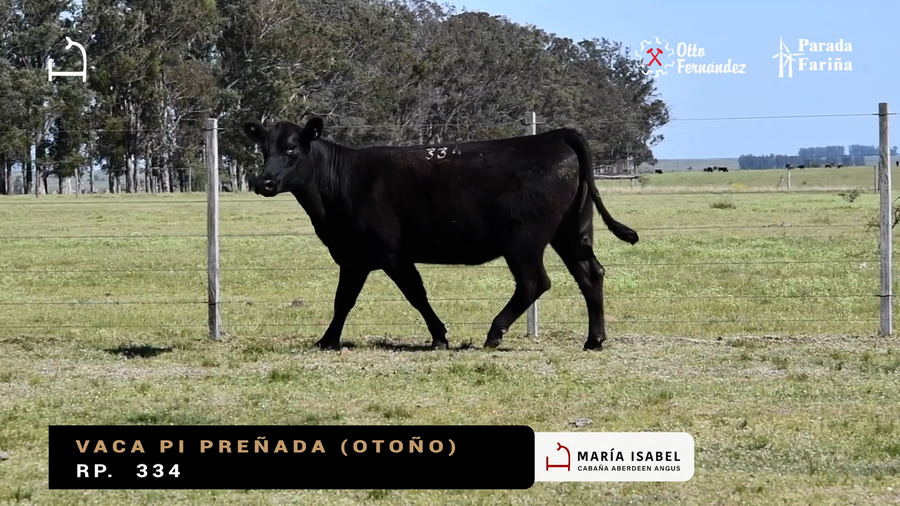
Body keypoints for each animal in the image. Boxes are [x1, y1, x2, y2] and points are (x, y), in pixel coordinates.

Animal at [242, 116, 639, 352]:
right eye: (263, 149)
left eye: (292, 148)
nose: (264, 183)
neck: (342, 182)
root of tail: (555, 136)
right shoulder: (353, 257)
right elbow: (343, 300)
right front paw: (328, 340)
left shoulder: (390, 253)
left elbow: (415, 295)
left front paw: (439, 337)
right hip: (572, 230)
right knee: (590, 274)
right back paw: (594, 340)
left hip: (525, 240)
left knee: (534, 282)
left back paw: (494, 333)